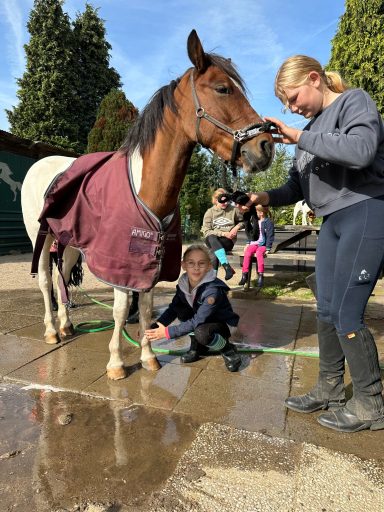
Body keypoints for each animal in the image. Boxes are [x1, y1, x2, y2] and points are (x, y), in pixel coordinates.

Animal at [21, 29, 274, 380]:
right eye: (222, 88)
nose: (266, 147)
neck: (147, 186)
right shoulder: (121, 264)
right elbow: (120, 309)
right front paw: (116, 363)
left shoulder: (151, 265)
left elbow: (144, 307)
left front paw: (148, 357)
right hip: (40, 237)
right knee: (46, 281)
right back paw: (50, 331)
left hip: (69, 242)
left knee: (62, 278)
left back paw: (67, 325)